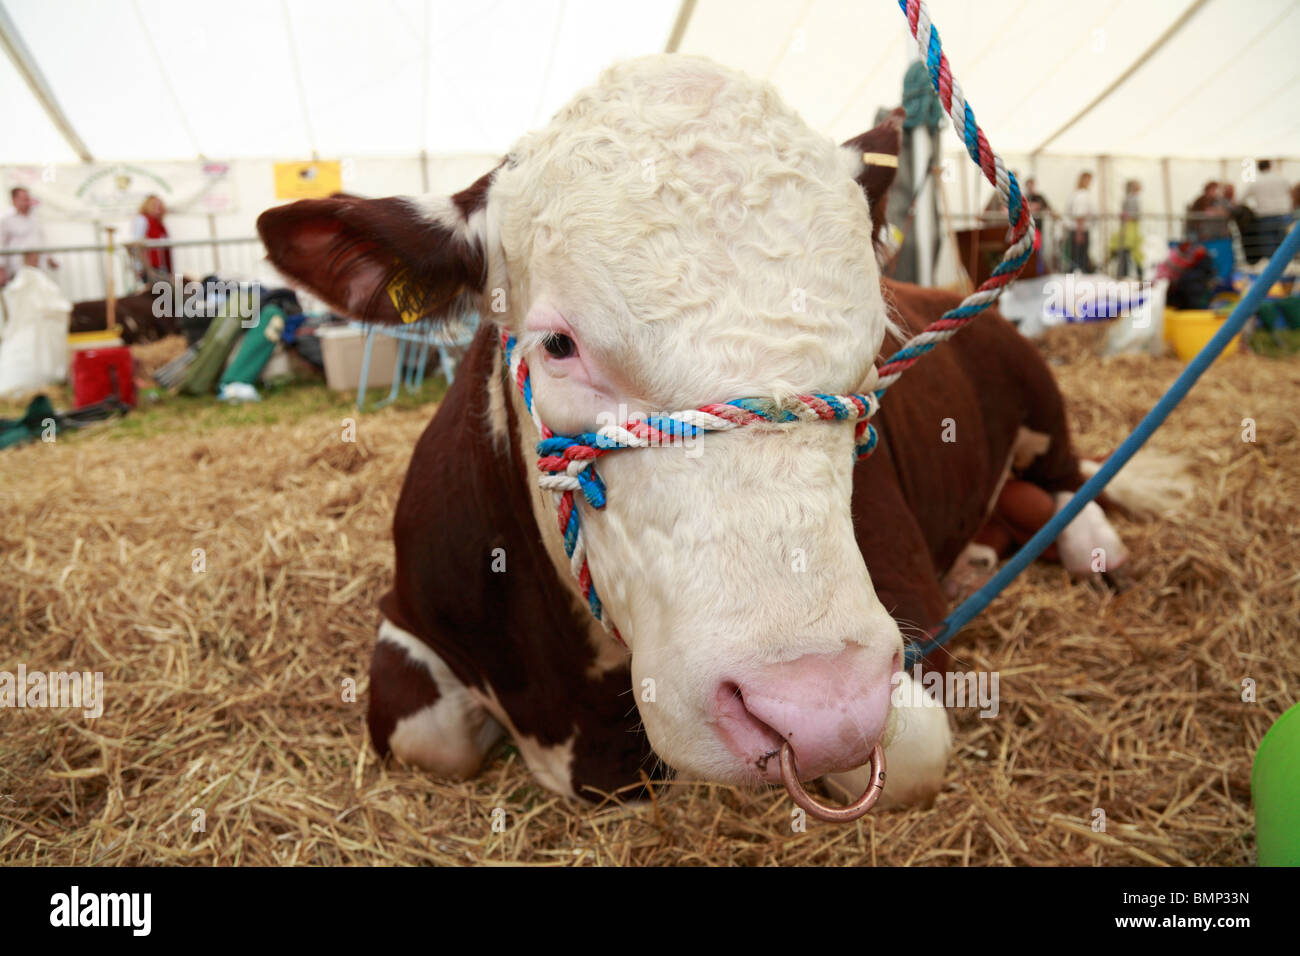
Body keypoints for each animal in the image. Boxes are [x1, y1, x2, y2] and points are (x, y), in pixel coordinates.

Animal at [257, 55, 1155, 810]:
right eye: (558, 344)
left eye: (873, 352)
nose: (817, 706)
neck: (576, 719)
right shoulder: (411, 615)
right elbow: (429, 739)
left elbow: (908, 757)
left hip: (1042, 403)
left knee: (1072, 480)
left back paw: (1096, 549)